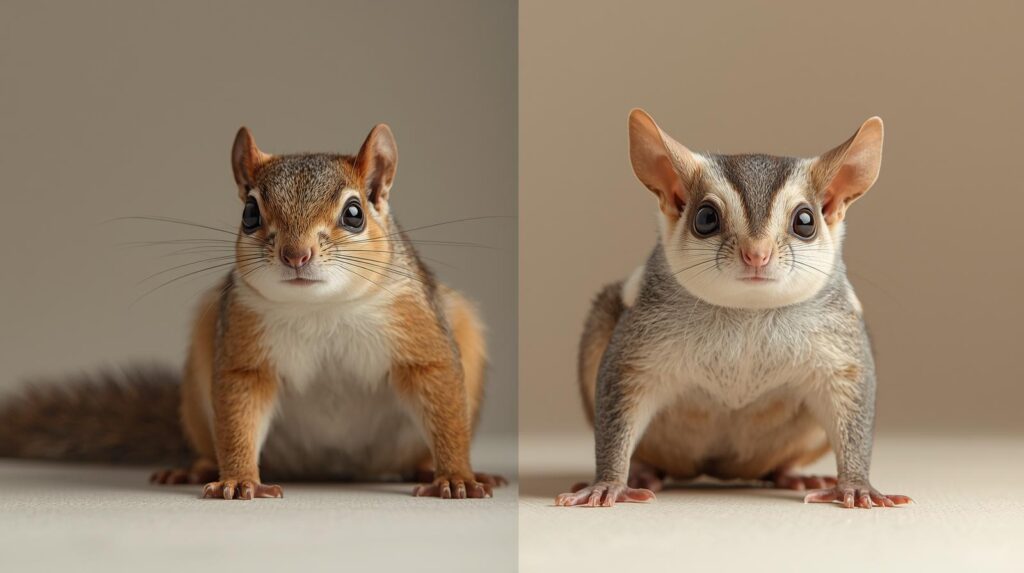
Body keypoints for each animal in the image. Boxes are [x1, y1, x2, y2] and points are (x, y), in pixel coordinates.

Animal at [0, 124, 502, 500]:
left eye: (355, 213)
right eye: (249, 213)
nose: (295, 255)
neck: (321, 309)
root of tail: (329, 468)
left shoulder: (417, 331)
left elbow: (441, 398)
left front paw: (456, 478)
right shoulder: (244, 347)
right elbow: (240, 414)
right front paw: (239, 481)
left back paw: (432, 468)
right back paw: (196, 468)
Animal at [556, 110, 911, 509]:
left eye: (805, 221)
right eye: (706, 218)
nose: (757, 254)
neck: (747, 312)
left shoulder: (842, 348)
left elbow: (853, 406)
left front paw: (857, 485)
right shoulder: (636, 350)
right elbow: (619, 401)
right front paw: (609, 483)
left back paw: (791, 475)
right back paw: (644, 472)